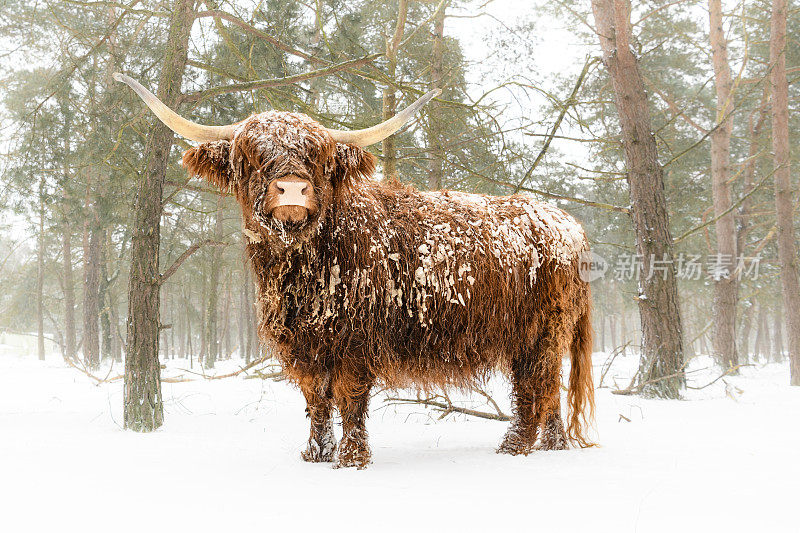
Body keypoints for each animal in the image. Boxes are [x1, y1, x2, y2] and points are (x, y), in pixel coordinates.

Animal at [117, 72, 592, 468]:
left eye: (316, 158)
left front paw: (350, 459)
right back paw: (553, 446)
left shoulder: (356, 340)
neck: (303, 272)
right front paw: (315, 453)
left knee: (535, 388)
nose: (293, 189)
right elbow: (316, 398)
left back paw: (514, 448)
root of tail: (567, 222)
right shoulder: (304, 347)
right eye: (251, 157)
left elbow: (349, 396)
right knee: (549, 393)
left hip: (539, 333)